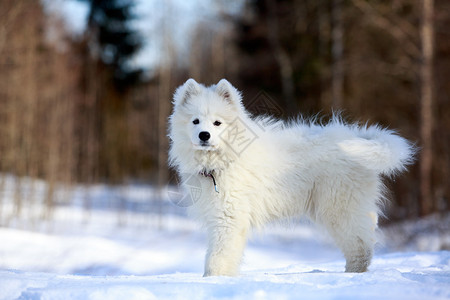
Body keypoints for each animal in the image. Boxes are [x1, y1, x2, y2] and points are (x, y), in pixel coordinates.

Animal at [169, 78, 414, 276]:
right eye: (195, 121)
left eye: (217, 123)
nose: (204, 135)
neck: (223, 160)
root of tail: (357, 136)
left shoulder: (229, 218)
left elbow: (217, 256)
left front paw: (213, 280)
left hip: (340, 208)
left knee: (360, 245)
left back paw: (353, 275)